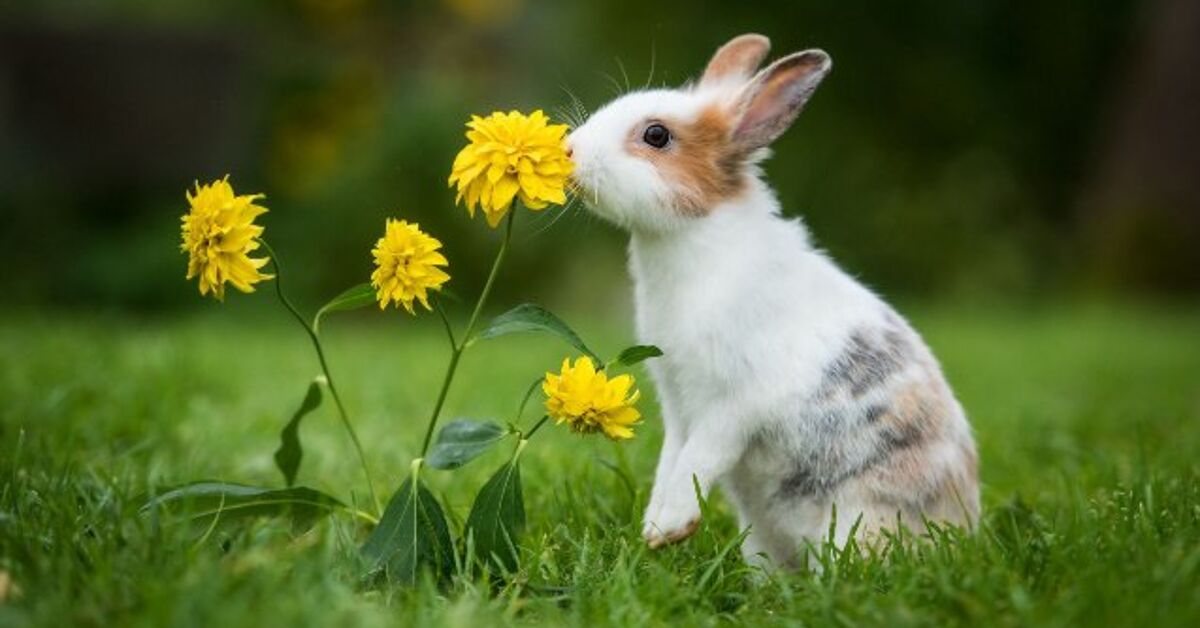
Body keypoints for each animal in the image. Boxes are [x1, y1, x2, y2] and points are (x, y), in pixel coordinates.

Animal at [565, 34, 980, 568]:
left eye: (656, 135)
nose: (570, 150)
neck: (694, 239)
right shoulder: (677, 404)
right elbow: (671, 460)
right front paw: (656, 528)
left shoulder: (731, 405)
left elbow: (698, 459)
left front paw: (667, 528)